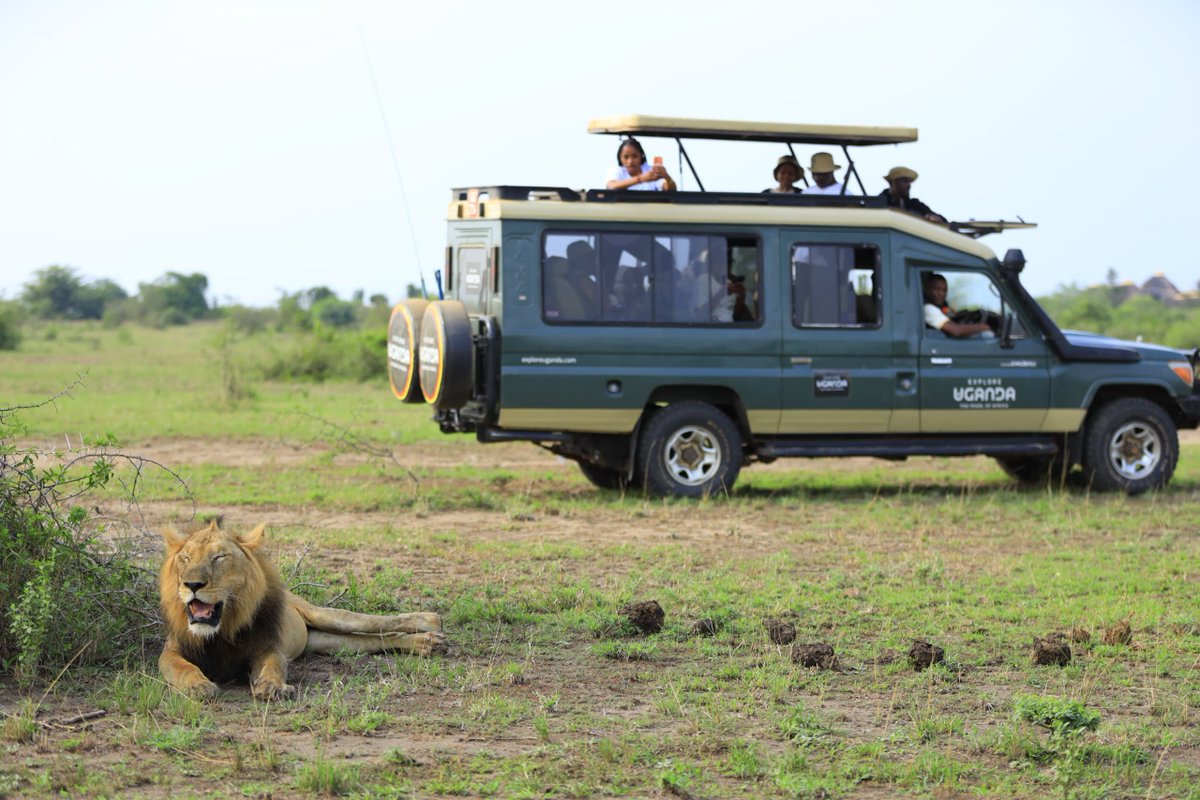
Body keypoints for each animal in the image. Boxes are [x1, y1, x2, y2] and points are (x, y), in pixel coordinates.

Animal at [159, 520, 446, 700]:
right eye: (185, 558)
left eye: (219, 557)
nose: (192, 584)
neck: (221, 630)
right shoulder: (171, 651)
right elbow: (181, 667)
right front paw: (198, 686)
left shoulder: (268, 646)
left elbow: (274, 666)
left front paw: (274, 687)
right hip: (325, 642)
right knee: (372, 641)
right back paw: (425, 644)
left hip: (325, 616)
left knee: (370, 623)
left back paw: (431, 624)